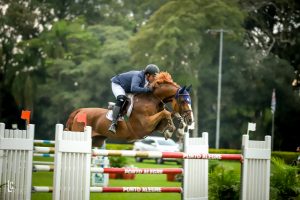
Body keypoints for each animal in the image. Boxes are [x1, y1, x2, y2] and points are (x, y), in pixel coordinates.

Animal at [64, 72, 193, 147]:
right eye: (183, 101)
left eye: (190, 100)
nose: (191, 120)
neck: (152, 100)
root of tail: (79, 111)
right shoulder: (144, 125)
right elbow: (166, 113)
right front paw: (171, 130)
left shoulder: (157, 125)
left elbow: (171, 113)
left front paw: (180, 129)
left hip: (96, 141)